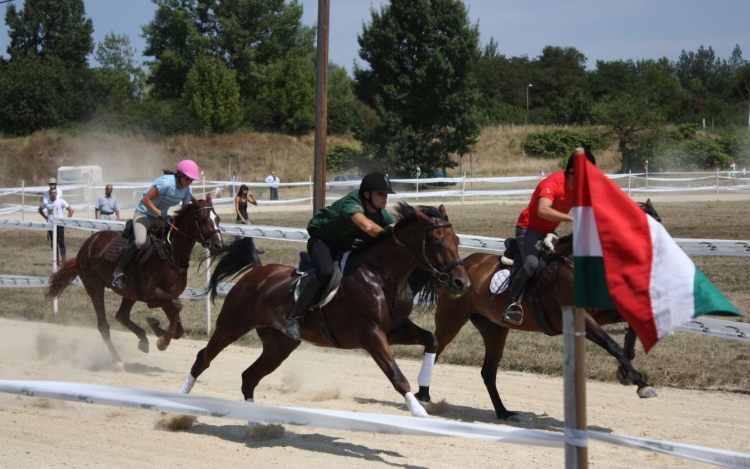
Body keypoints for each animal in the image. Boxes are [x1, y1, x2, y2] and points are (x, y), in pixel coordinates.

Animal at [46, 194, 223, 366]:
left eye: (218, 219)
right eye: (203, 219)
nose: (218, 246)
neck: (170, 254)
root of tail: (86, 245)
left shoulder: (168, 297)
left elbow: (178, 327)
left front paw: (158, 332)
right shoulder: (154, 297)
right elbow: (177, 307)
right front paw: (161, 337)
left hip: (130, 293)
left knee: (121, 316)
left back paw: (143, 339)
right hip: (94, 286)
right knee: (104, 326)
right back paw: (117, 360)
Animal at [178, 203, 470, 414]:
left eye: (456, 239)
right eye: (438, 241)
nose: (461, 283)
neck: (381, 275)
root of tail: (257, 272)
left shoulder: (395, 329)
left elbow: (431, 340)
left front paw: (425, 392)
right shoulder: (372, 334)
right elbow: (396, 376)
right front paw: (418, 410)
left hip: (279, 345)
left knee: (249, 377)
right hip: (232, 325)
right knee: (204, 358)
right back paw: (178, 400)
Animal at [418, 199, 664, 418]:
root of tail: (458, 268)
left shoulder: (600, 313)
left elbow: (628, 331)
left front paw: (628, 372)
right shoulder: (581, 318)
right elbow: (612, 345)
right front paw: (641, 383)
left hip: (494, 329)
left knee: (488, 372)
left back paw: (503, 412)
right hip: (451, 321)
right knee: (434, 352)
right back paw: (423, 397)